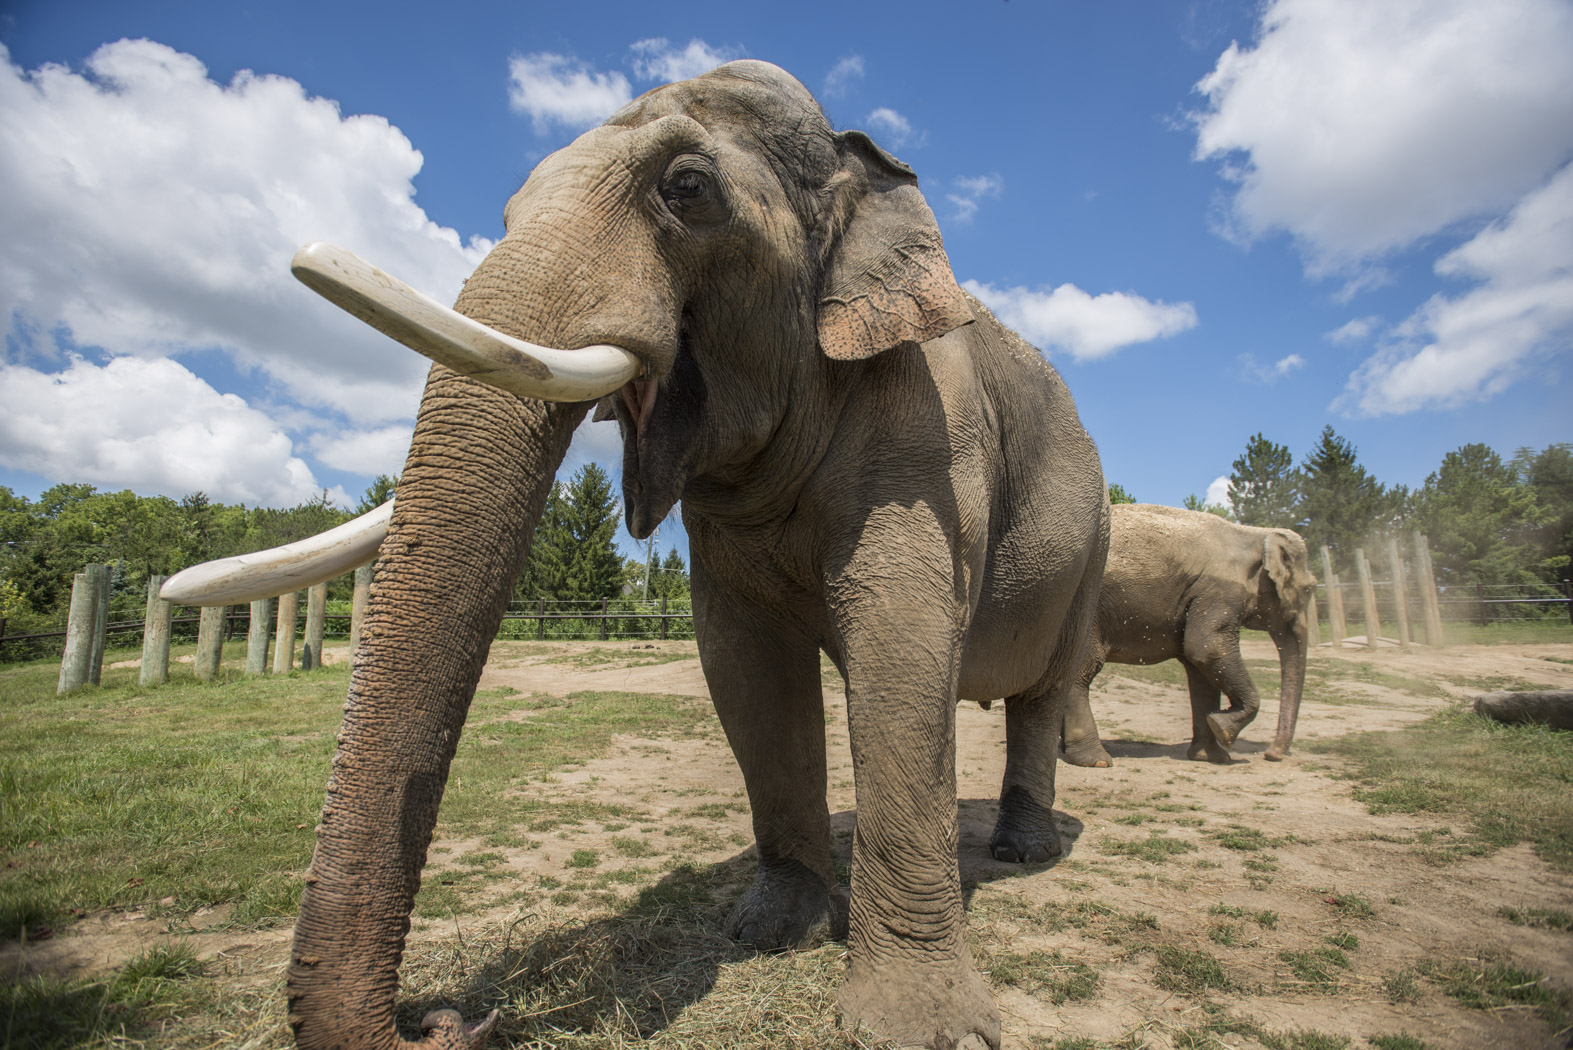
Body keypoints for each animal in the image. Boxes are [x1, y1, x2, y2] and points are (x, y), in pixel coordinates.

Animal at [163, 61, 1108, 1050]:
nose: (445, 1017)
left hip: (1090, 542)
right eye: (508, 212)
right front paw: (770, 930)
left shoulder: (927, 440)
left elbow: (901, 653)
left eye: (686, 189)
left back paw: (1021, 850)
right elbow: (745, 669)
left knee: (1043, 688)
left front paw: (924, 1029)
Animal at [1058, 504, 1316, 767]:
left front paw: (1210, 756)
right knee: (1081, 672)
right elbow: (1207, 648)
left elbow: (1200, 672)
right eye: (1310, 589)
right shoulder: (1219, 593)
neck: (1254, 533)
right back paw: (1096, 760)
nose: (1271, 754)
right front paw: (1223, 730)